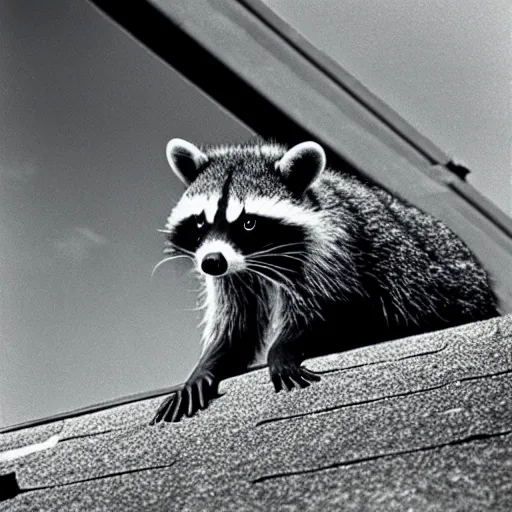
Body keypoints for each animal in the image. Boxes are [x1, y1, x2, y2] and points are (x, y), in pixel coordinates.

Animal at [150, 138, 498, 422]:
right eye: (200, 222)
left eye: (249, 223)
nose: (211, 263)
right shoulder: (232, 268)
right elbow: (238, 325)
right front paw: (207, 366)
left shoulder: (334, 245)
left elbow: (329, 305)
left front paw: (285, 345)